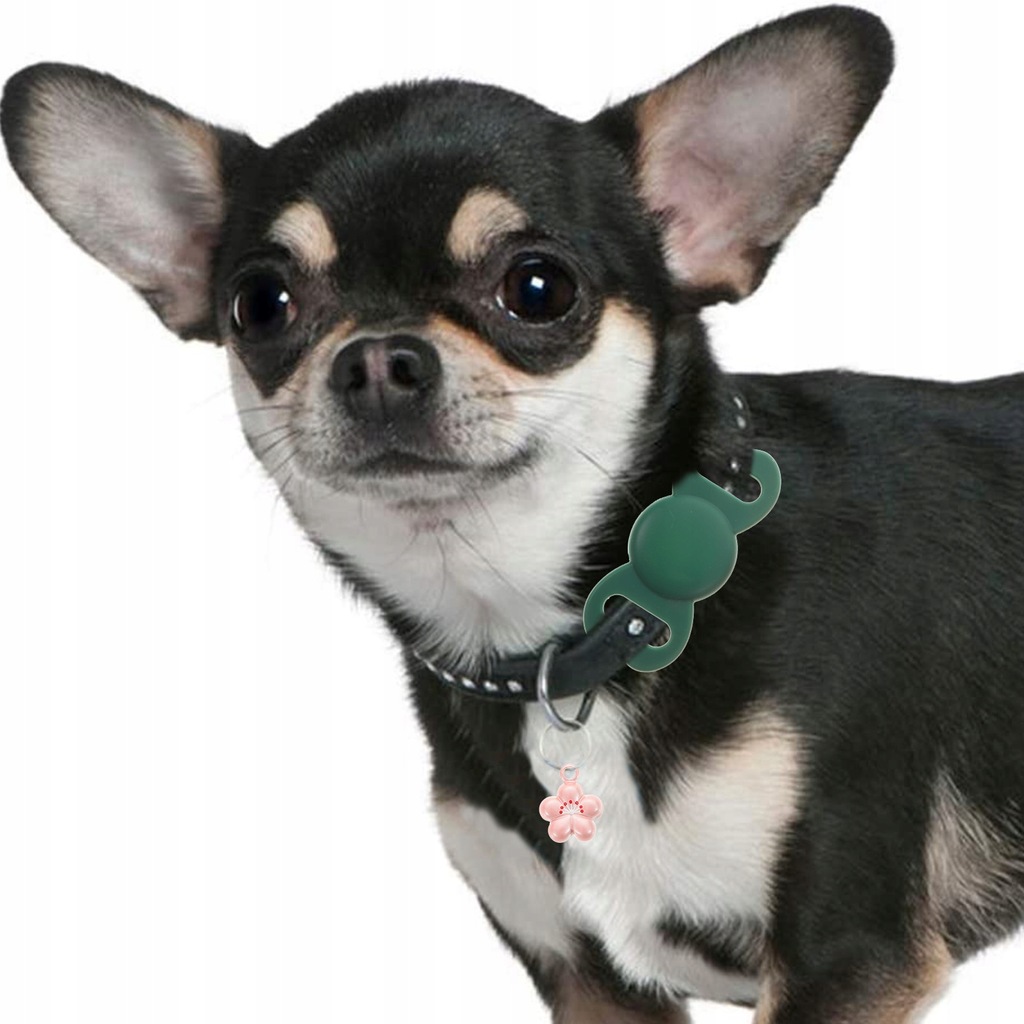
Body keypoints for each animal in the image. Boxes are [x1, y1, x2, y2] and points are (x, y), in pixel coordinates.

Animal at [5, 5, 1024, 1021]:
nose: (378, 358)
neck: (596, 622)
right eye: (260, 304)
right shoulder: (593, 982)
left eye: (539, 288)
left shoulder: (847, 959)